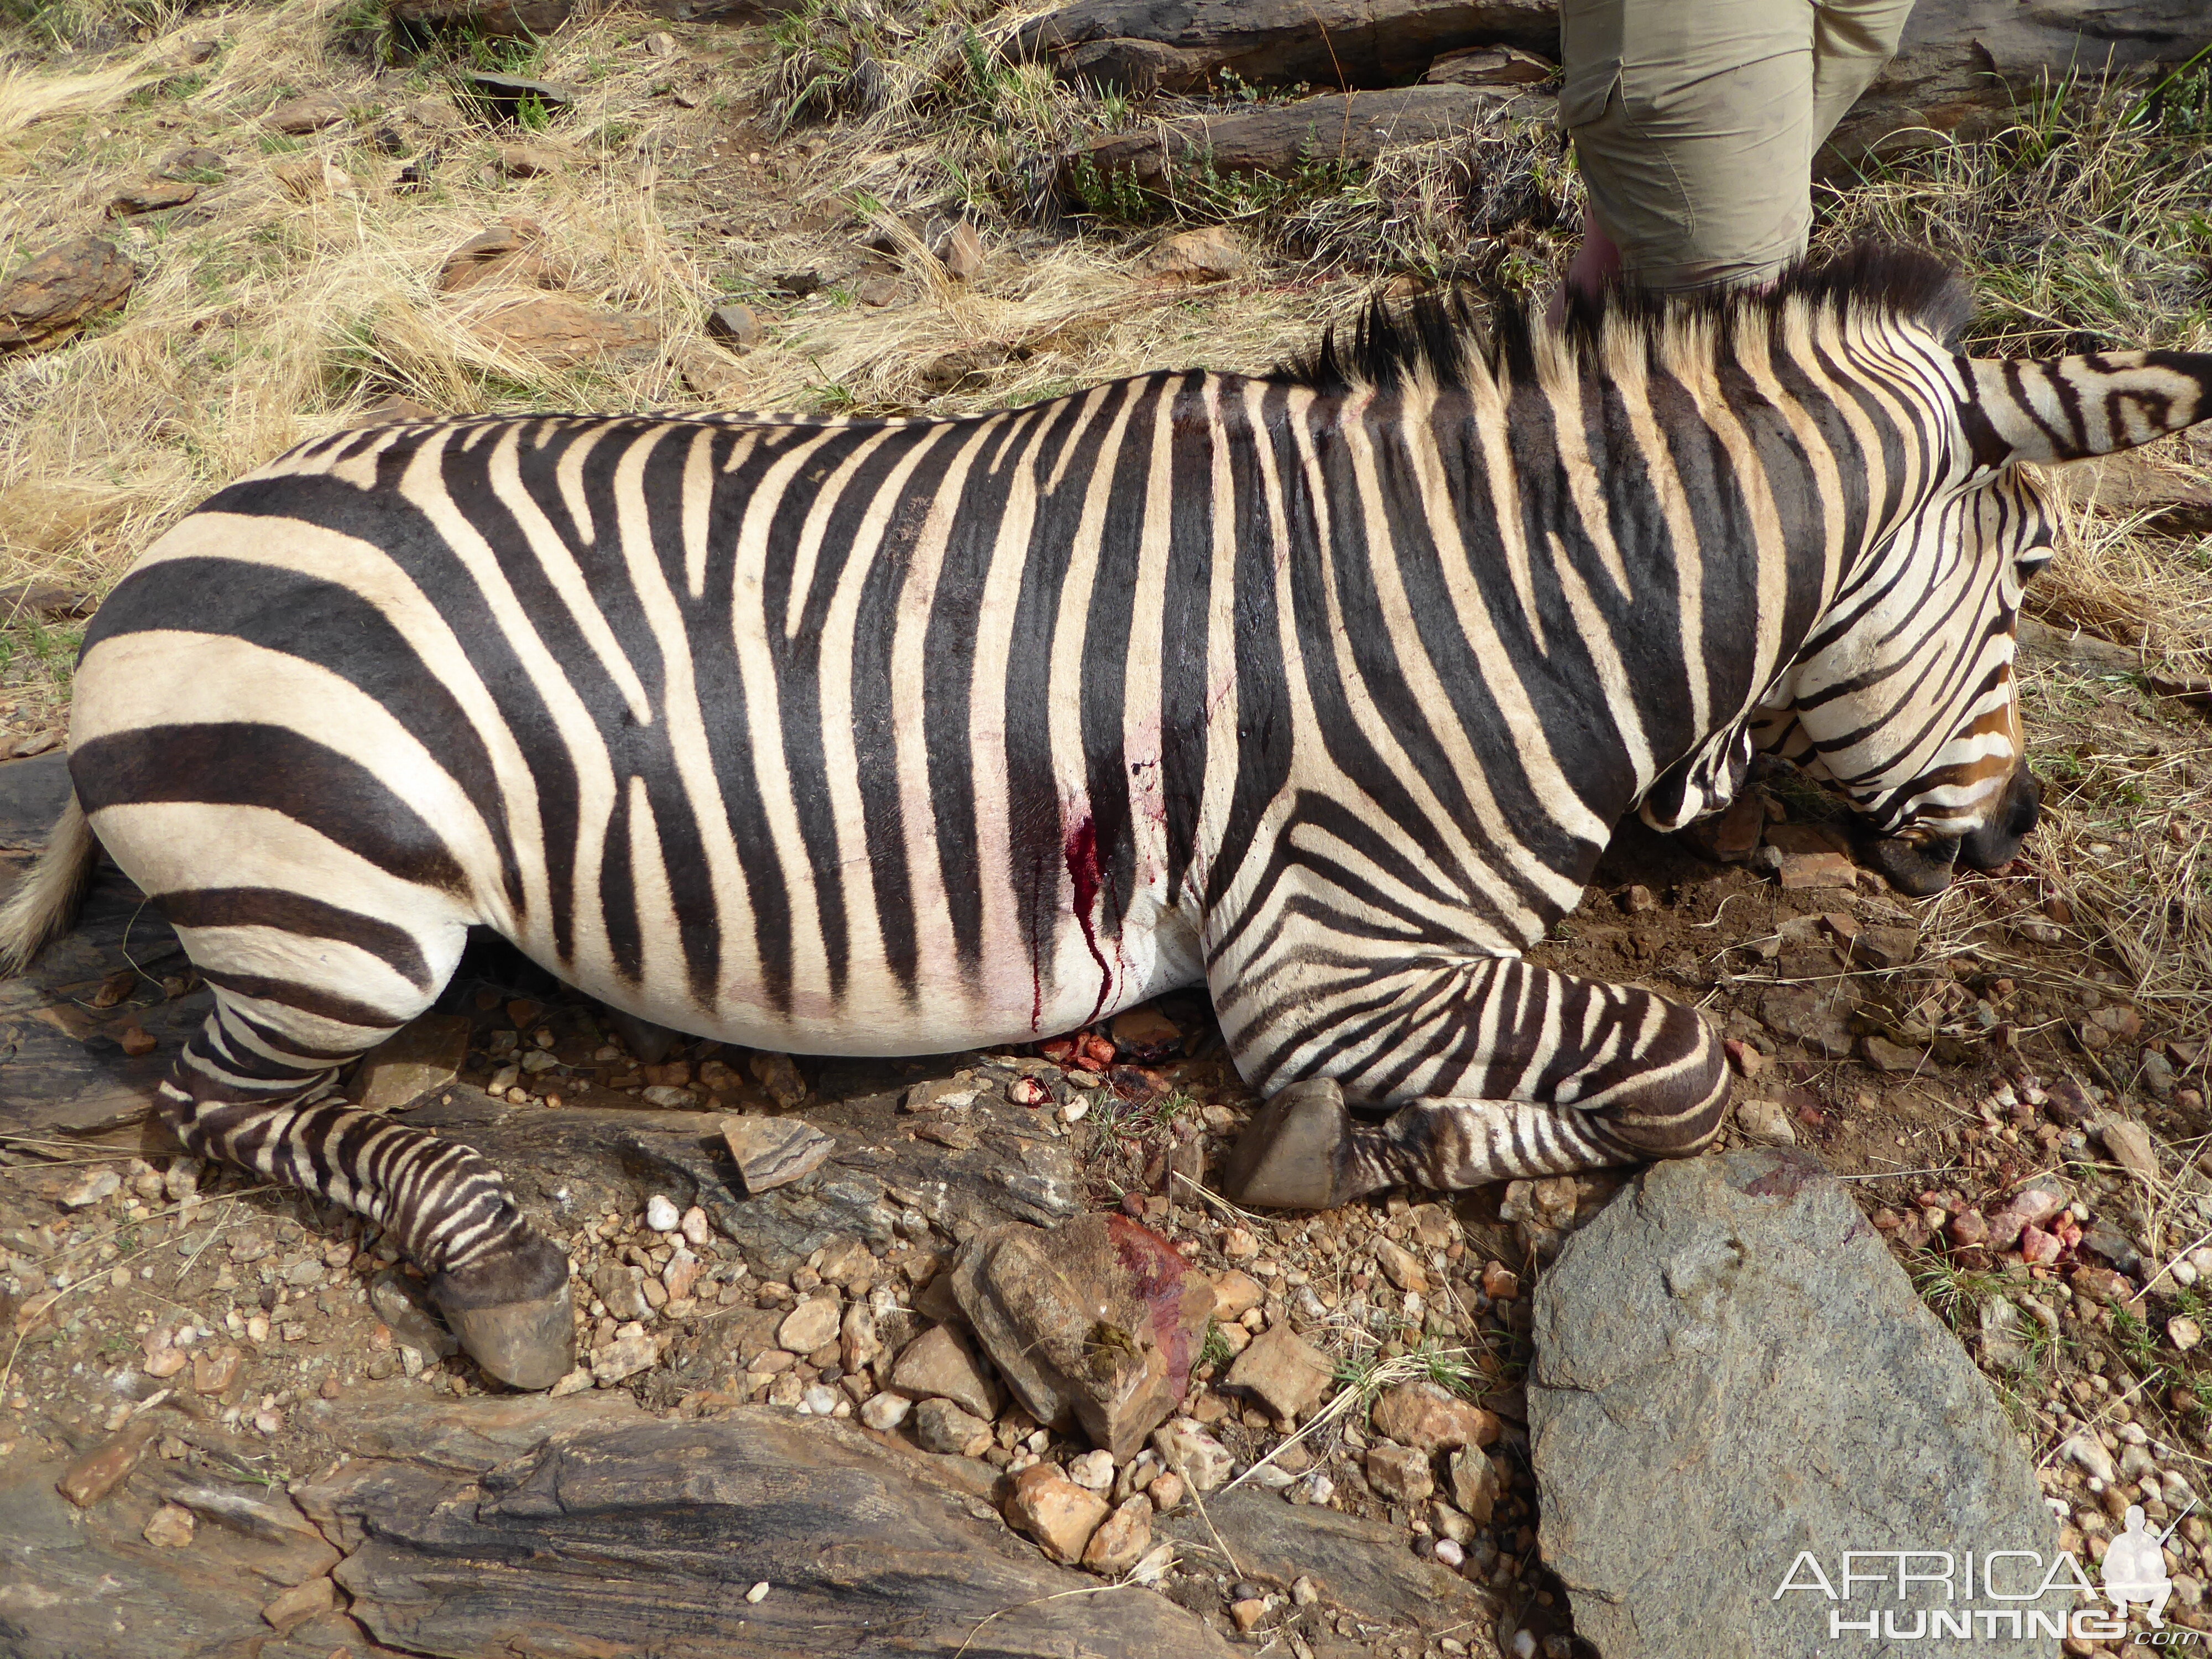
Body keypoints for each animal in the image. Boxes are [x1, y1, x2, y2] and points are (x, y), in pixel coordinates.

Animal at [4, 247, 2212, 1389]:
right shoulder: (1328, 956)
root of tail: (166, 542)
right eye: (2025, 576)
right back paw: (493, 1266)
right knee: (221, 1098)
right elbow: (1682, 1067)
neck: (1507, 601)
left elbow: (1656, 1068)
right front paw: (1372, 1146)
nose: (2004, 843)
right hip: (348, 905)